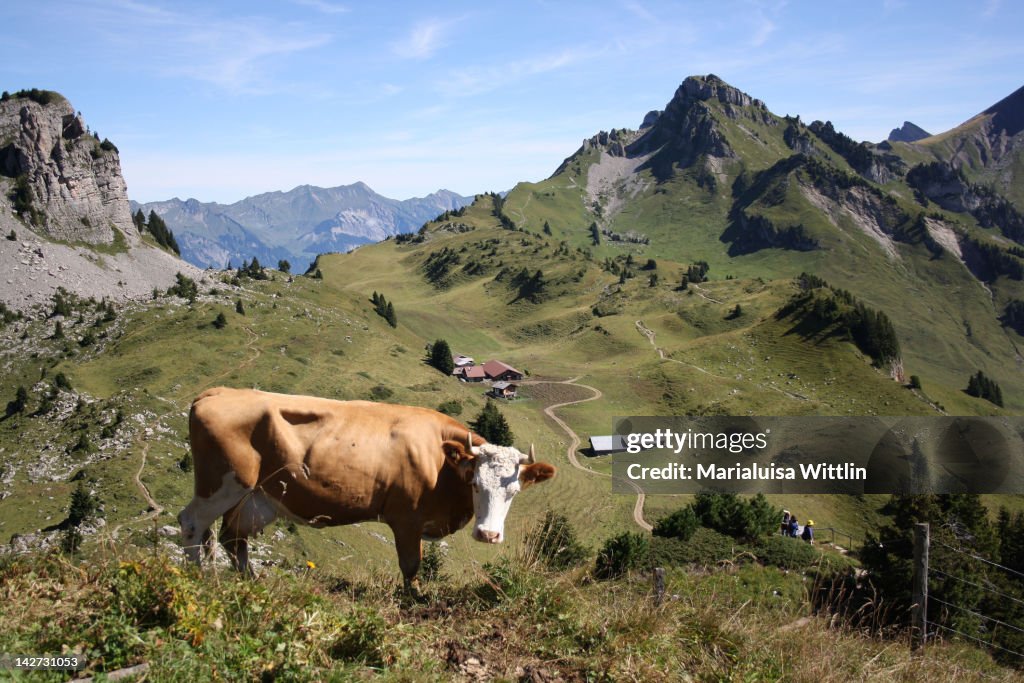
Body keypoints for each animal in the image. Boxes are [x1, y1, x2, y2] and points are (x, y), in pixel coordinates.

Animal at [180, 387, 557, 585]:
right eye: (475, 483)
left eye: (514, 492)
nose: (488, 535)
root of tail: (217, 392)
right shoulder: (406, 519)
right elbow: (411, 566)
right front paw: (413, 602)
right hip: (223, 484)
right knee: (193, 523)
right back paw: (195, 575)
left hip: (258, 497)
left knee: (233, 538)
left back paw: (251, 581)